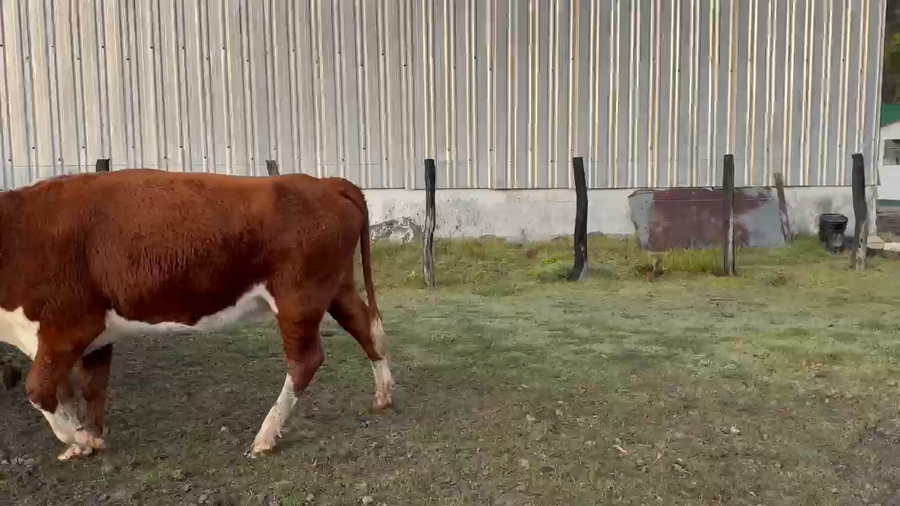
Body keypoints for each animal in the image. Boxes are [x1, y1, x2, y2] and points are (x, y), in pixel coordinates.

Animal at [0, 169, 394, 461]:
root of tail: (323, 182)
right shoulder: (95, 336)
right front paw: (90, 438)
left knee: (305, 360)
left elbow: (40, 390)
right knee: (365, 328)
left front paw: (79, 439)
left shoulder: (68, 327)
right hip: (336, 288)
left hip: (298, 299)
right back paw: (384, 395)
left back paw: (265, 435)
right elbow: (89, 388)